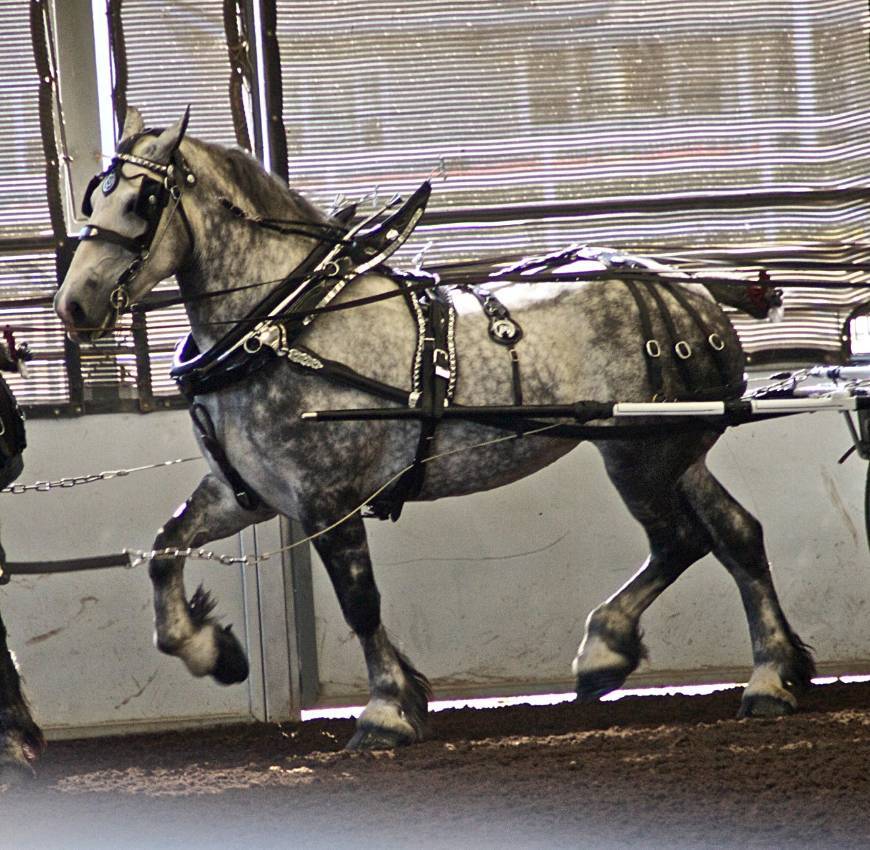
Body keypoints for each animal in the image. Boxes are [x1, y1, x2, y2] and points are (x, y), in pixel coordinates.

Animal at [56, 107, 816, 748]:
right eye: (93, 198)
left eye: (142, 202)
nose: (74, 304)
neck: (287, 323)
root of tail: (688, 288)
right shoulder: (249, 492)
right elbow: (165, 551)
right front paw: (212, 650)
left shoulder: (327, 498)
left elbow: (360, 602)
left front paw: (387, 710)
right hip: (677, 452)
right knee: (737, 536)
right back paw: (771, 678)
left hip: (636, 454)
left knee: (680, 541)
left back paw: (606, 651)